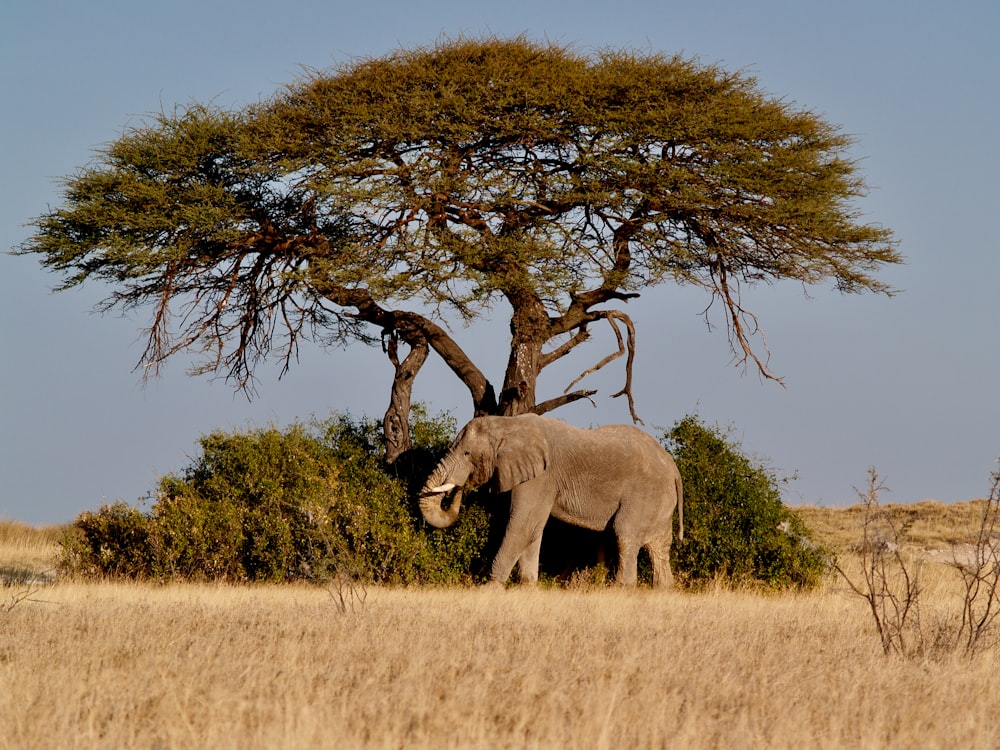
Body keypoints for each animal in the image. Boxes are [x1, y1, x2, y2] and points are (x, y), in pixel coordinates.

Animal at [418, 414, 684, 592]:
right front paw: (527, 588)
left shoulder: (541, 477)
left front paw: (488, 589)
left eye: (467, 454)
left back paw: (621, 590)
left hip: (644, 494)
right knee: (659, 547)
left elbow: (523, 524)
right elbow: (533, 528)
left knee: (625, 534)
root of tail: (673, 468)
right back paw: (663, 590)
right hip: (659, 500)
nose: (461, 487)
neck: (508, 423)